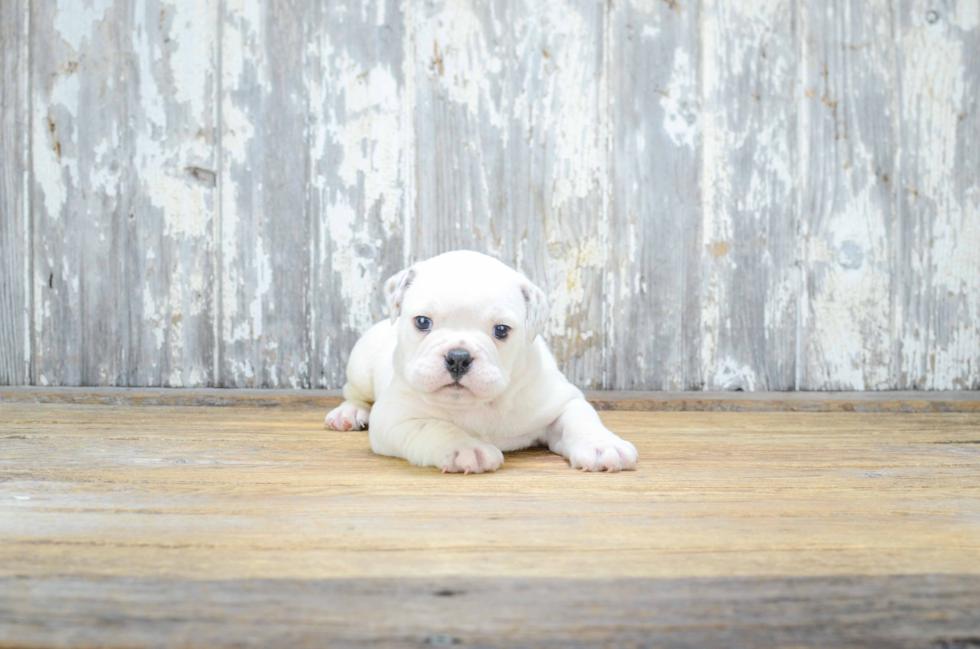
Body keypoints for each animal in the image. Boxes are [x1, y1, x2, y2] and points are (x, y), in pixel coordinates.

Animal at [326, 251, 640, 474]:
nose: (458, 357)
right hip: (360, 367)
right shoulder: (395, 418)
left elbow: (581, 419)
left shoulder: (561, 402)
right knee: (354, 393)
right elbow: (435, 427)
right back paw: (348, 413)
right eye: (423, 322)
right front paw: (464, 447)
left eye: (501, 330)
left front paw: (602, 445)